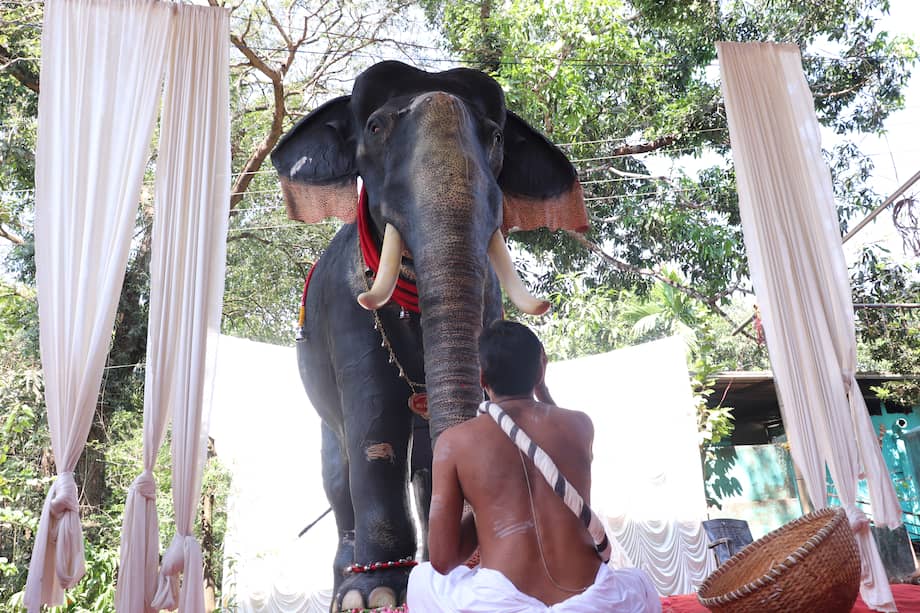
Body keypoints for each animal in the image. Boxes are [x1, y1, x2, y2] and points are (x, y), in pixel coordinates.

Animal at [270, 60, 588, 611]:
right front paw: (376, 593)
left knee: (418, 465)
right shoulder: (347, 313)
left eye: (496, 136)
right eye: (375, 128)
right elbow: (375, 429)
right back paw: (347, 583)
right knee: (338, 469)